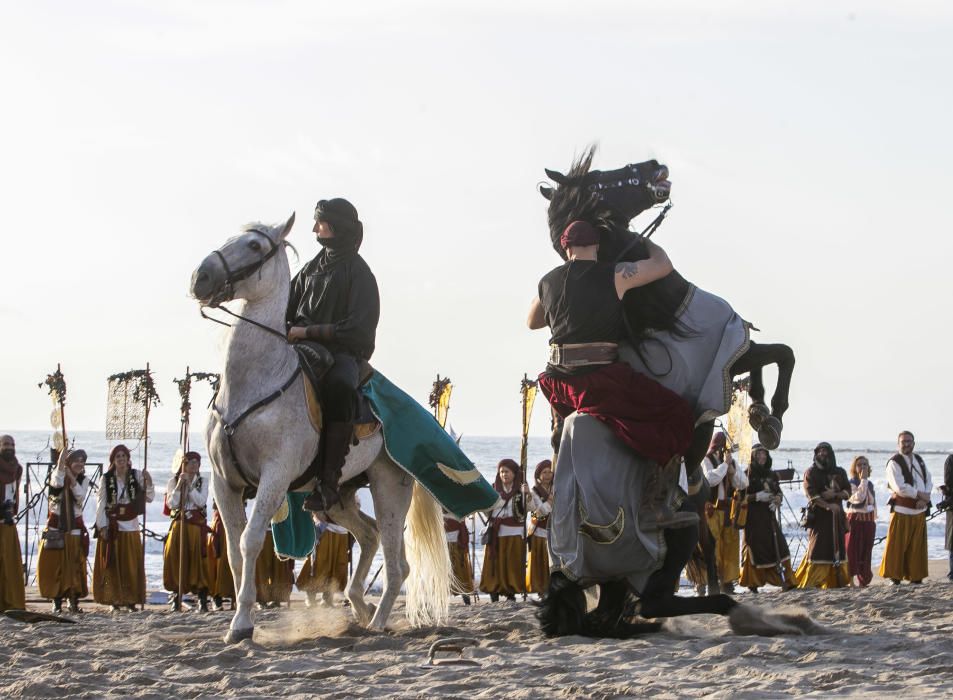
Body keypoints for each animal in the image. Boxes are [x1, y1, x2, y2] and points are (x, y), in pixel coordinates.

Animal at [192, 213, 452, 644]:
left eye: (254, 246)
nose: (201, 277)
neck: (253, 384)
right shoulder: (223, 481)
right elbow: (232, 551)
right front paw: (239, 621)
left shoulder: (275, 476)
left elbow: (250, 541)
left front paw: (242, 623)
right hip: (338, 497)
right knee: (369, 535)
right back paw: (360, 606)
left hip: (388, 487)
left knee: (397, 564)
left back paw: (377, 622)